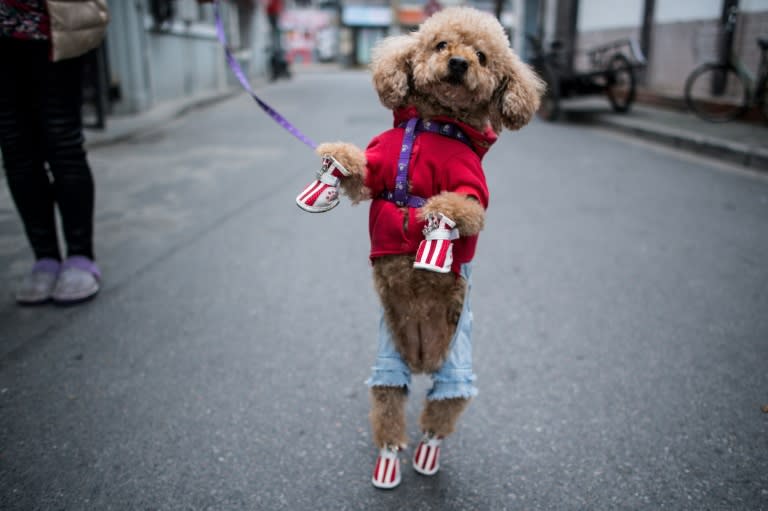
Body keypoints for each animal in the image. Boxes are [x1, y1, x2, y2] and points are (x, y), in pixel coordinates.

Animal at [296, 6, 544, 490]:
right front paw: (330, 169)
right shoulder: (378, 169)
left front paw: (434, 240)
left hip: (456, 365)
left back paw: (427, 454)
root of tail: (422, 358)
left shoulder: (471, 192)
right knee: (390, 409)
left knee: (441, 411)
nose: (459, 64)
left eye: (482, 57)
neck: (434, 126)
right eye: (441, 45)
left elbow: (455, 208)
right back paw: (389, 459)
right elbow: (358, 167)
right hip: (387, 361)